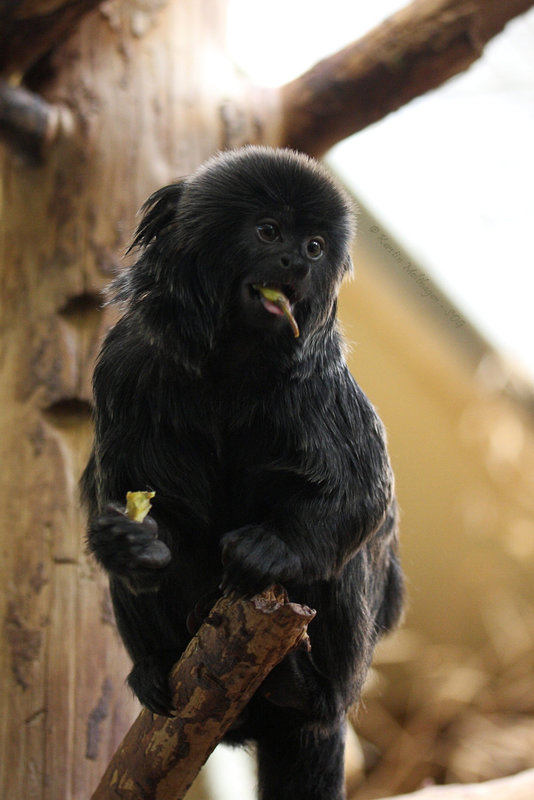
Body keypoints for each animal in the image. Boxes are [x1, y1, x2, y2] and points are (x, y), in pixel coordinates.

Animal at [81, 147, 404, 796]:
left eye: (314, 247)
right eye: (268, 232)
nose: (293, 263)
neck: (231, 365)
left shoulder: (318, 384)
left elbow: (363, 496)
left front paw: (271, 551)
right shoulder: (128, 364)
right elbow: (134, 497)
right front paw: (131, 542)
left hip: (345, 669)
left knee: (352, 562)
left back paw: (305, 689)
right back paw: (155, 665)